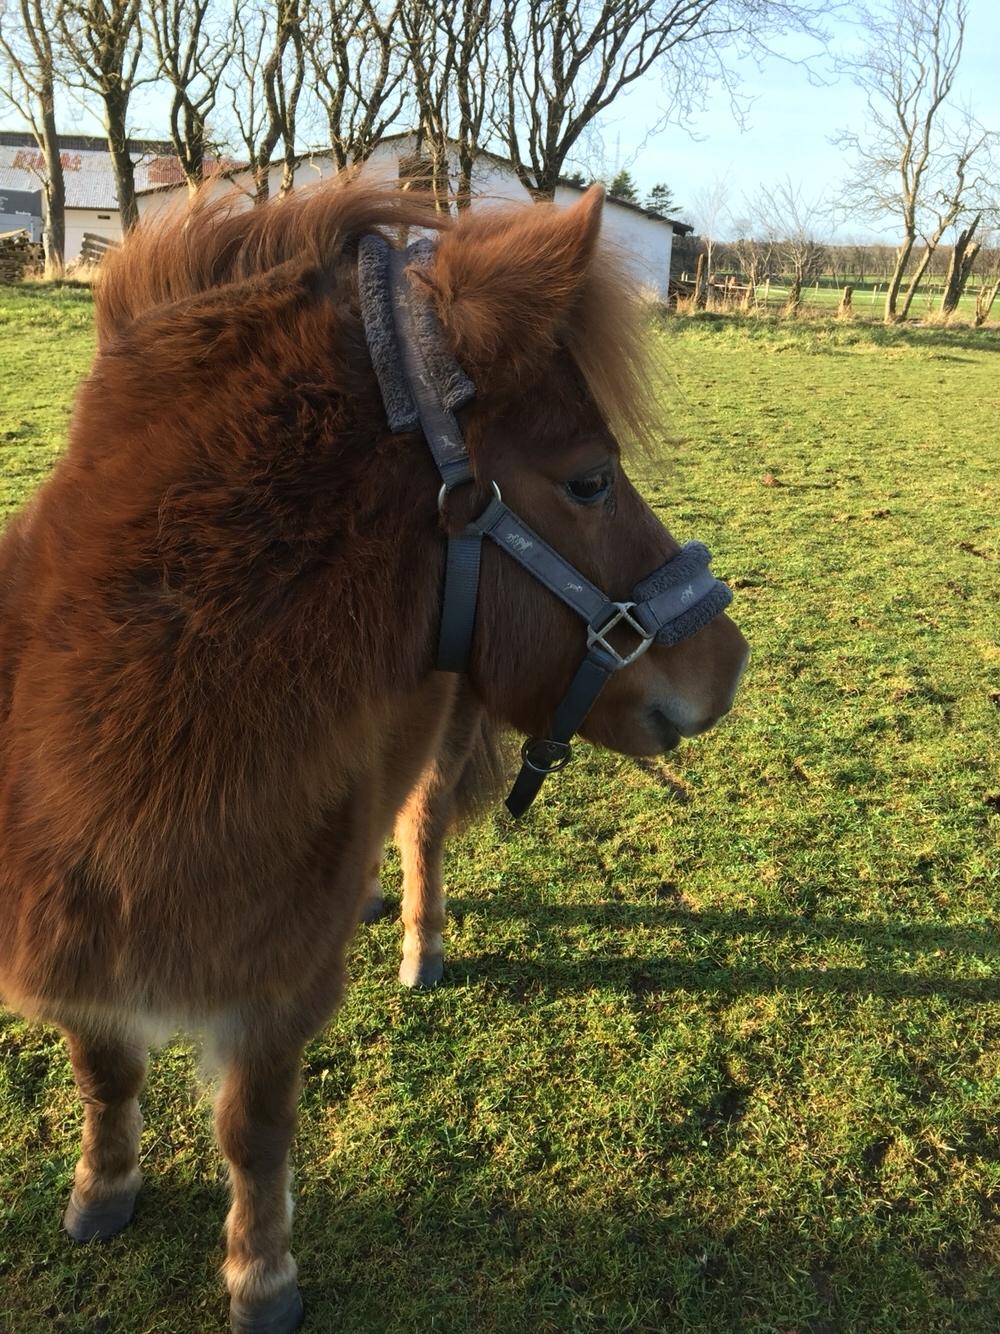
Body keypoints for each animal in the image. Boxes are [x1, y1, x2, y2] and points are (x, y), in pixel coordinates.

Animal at [0, 180, 746, 1334]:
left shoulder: (275, 997)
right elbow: (104, 1076)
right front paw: (103, 1189)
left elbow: (253, 1135)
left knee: (420, 830)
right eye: (589, 480)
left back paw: (416, 945)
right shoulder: (76, 957)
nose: (729, 661)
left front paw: (261, 1276)